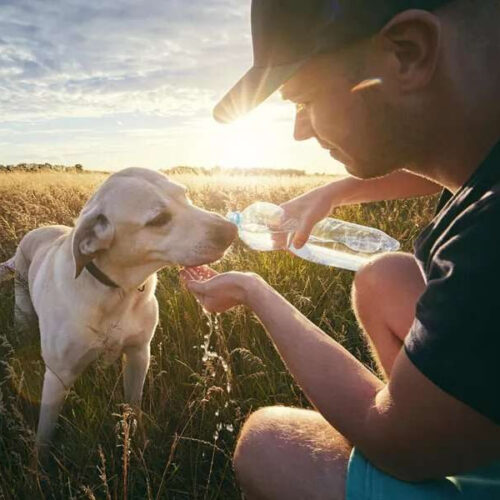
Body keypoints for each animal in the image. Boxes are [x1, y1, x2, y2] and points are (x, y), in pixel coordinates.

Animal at [0, 167, 236, 450]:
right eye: (158, 219)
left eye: (185, 195)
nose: (231, 230)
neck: (117, 291)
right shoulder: (58, 376)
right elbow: (45, 432)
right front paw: (40, 461)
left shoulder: (138, 354)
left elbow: (134, 405)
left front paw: (138, 444)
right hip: (22, 308)